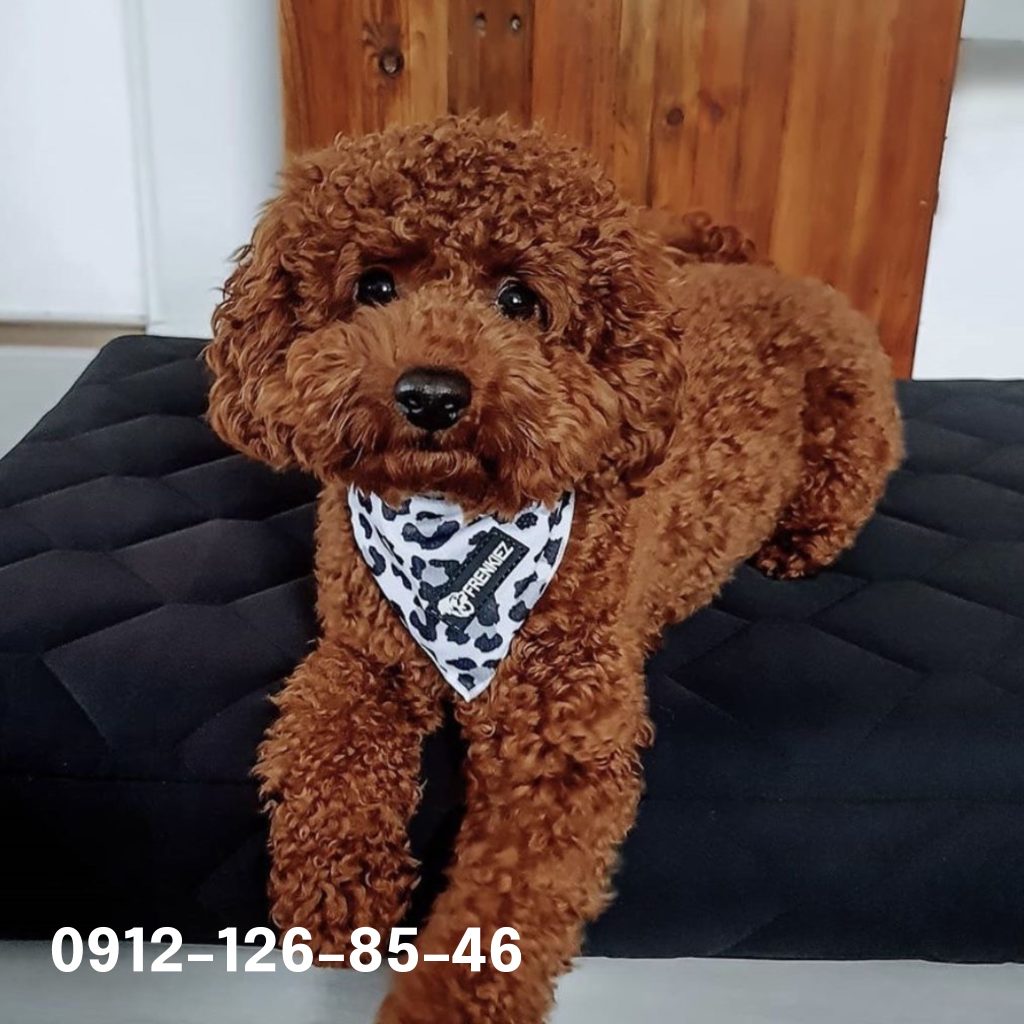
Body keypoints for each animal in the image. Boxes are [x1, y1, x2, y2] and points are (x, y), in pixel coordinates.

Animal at [203, 114, 901, 1024]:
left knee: (842, 490)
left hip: (852, 421)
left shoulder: (558, 737)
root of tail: (775, 275)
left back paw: (799, 541)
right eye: (375, 286)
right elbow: (332, 760)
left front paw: (441, 1004)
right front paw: (338, 895)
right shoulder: (362, 659)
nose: (432, 394)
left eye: (518, 300)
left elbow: (504, 908)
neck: (453, 525)